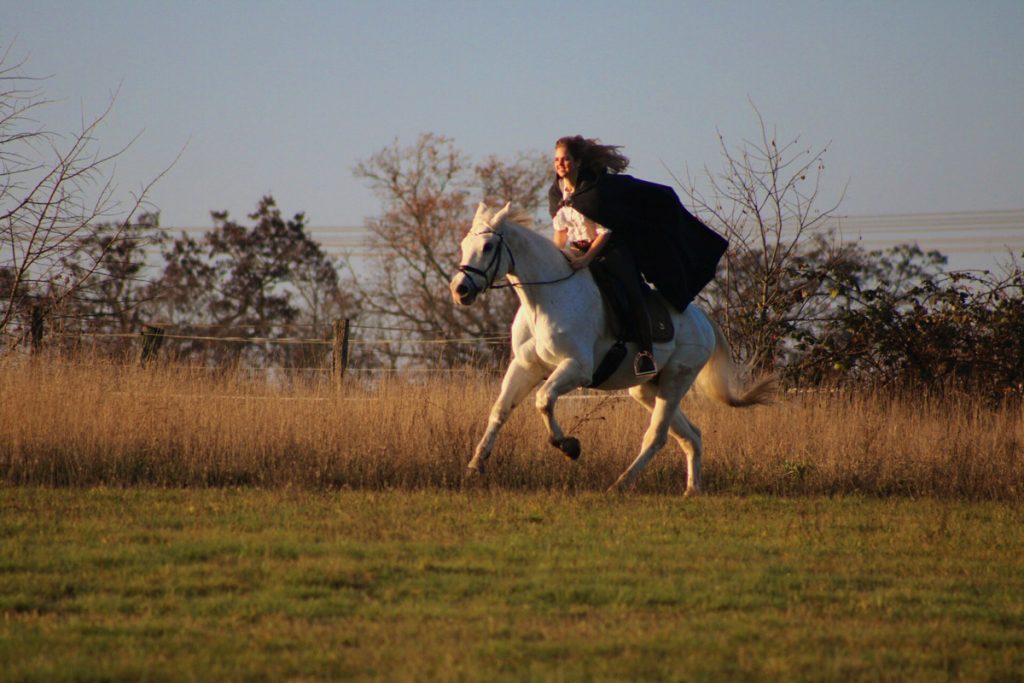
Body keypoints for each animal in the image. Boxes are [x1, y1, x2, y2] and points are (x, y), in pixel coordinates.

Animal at [450, 200, 774, 493]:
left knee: (657, 437)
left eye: (488, 246)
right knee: (691, 436)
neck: (546, 300)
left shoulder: (576, 368)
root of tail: (703, 320)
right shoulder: (526, 366)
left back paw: (621, 484)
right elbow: (500, 410)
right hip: (647, 389)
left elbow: (543, 400)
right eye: (465, 244)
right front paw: (475, 465)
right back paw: (692, 490)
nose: (459, 290)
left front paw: (569, 446)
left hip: (676, 379)